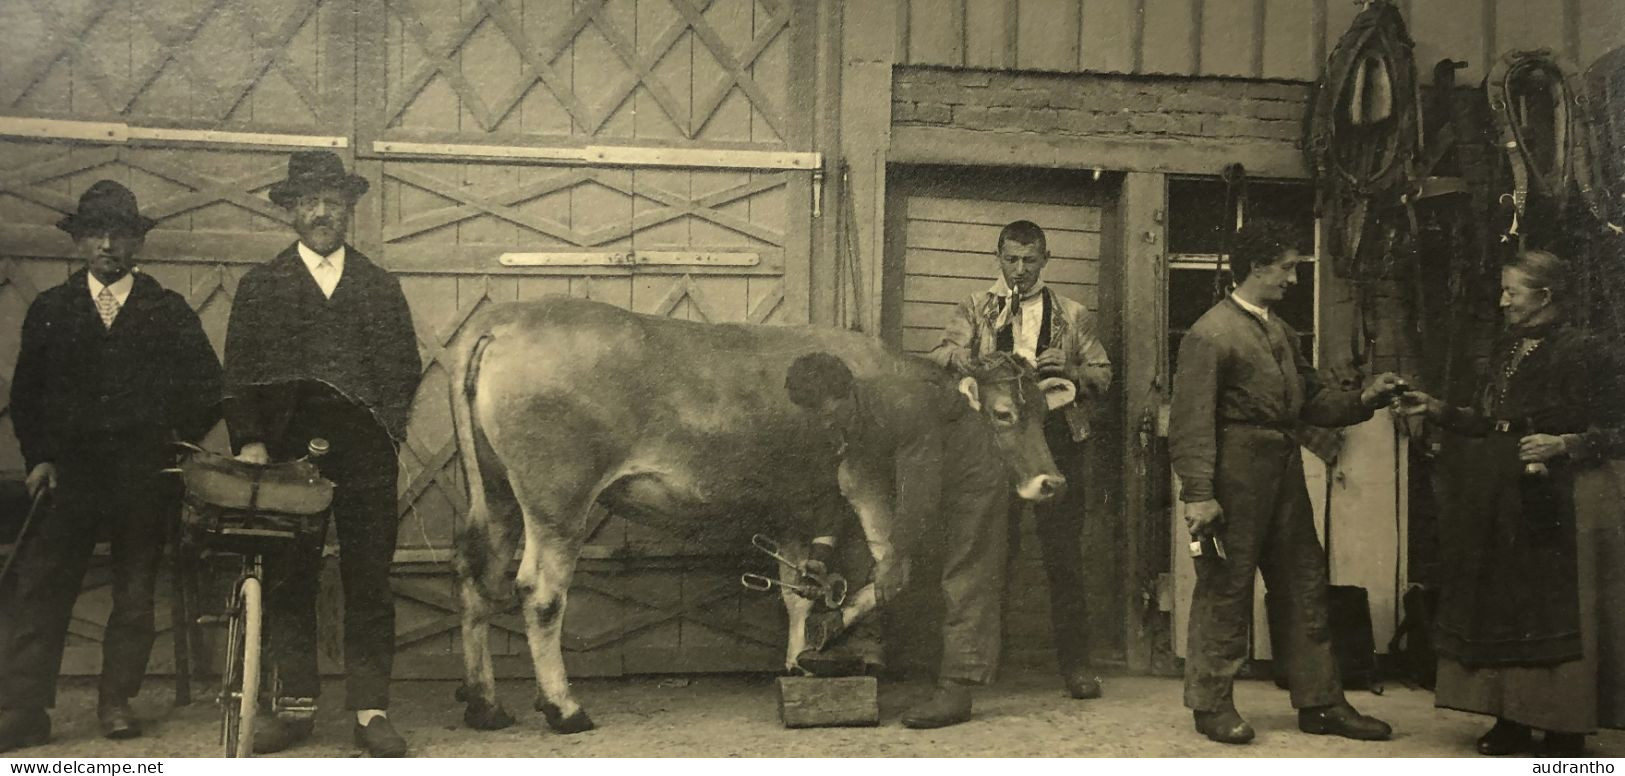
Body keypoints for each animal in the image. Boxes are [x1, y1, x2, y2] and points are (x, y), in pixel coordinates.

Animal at [451, 297, 1072, 733]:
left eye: (1045, 415)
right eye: (1003, 414)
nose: (1051, 482)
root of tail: (505, 319)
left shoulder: (803, 506)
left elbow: (800, 589)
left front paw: (801, 657)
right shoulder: (867, 479)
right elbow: (891, 570)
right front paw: (827, 634)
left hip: (497, 493)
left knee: (477, 577)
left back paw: (485, 704)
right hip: (557, 500)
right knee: (540, 591)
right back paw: (564, 708)